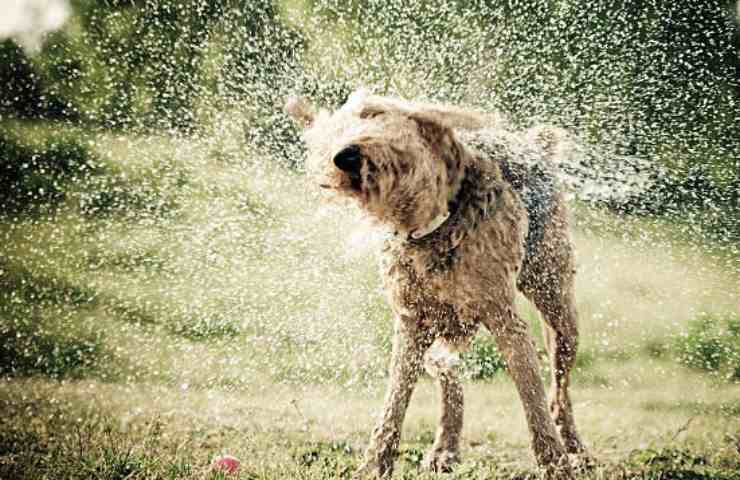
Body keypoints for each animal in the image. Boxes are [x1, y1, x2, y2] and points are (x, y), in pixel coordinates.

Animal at [286, 89, 588, 476]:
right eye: (331, 135)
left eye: (373, 113)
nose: (345, 156)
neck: (434, 226)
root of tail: (535, 146)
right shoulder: (410, 324)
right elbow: (394, 404)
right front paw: (374, 465)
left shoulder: (506, 321)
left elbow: (533, 399)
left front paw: (555, 463)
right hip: (441, 330)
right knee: (450, 379)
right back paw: (445, 448)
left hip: (558, 310)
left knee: (559, 392)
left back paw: (576, 451)